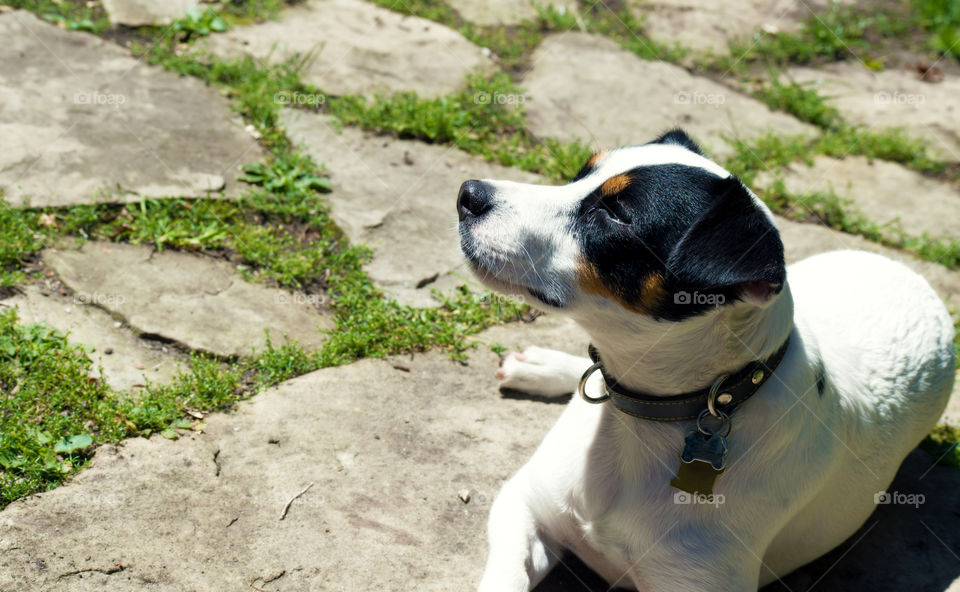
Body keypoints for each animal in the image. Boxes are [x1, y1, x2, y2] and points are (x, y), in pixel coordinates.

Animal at [456, 131, 952, 592]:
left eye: (617, 214)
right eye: (582, 173)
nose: (468, 193)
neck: (642, 417)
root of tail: (913, 278)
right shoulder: (524, 503)